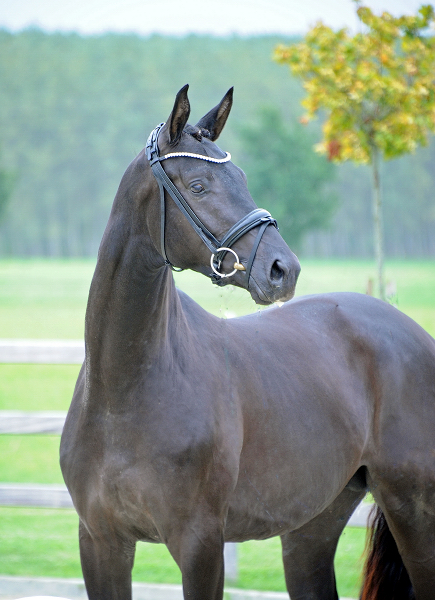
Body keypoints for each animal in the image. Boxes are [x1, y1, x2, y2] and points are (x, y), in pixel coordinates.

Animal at [59, 85, 435, 600]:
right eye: (199, 185)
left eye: (241, 178)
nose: (283, 269)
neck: (123, 392)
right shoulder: (100, 541)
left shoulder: (199, 544)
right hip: (312, 526)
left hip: (412, 508)